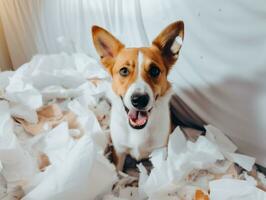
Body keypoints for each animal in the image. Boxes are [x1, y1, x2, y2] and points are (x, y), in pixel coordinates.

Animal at [92, 20, 184, 170]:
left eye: (154, 70)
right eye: (124, 71)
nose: (139, 100)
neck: (138, 131)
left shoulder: (161, 151)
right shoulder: (119, 151)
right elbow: (117, 173)